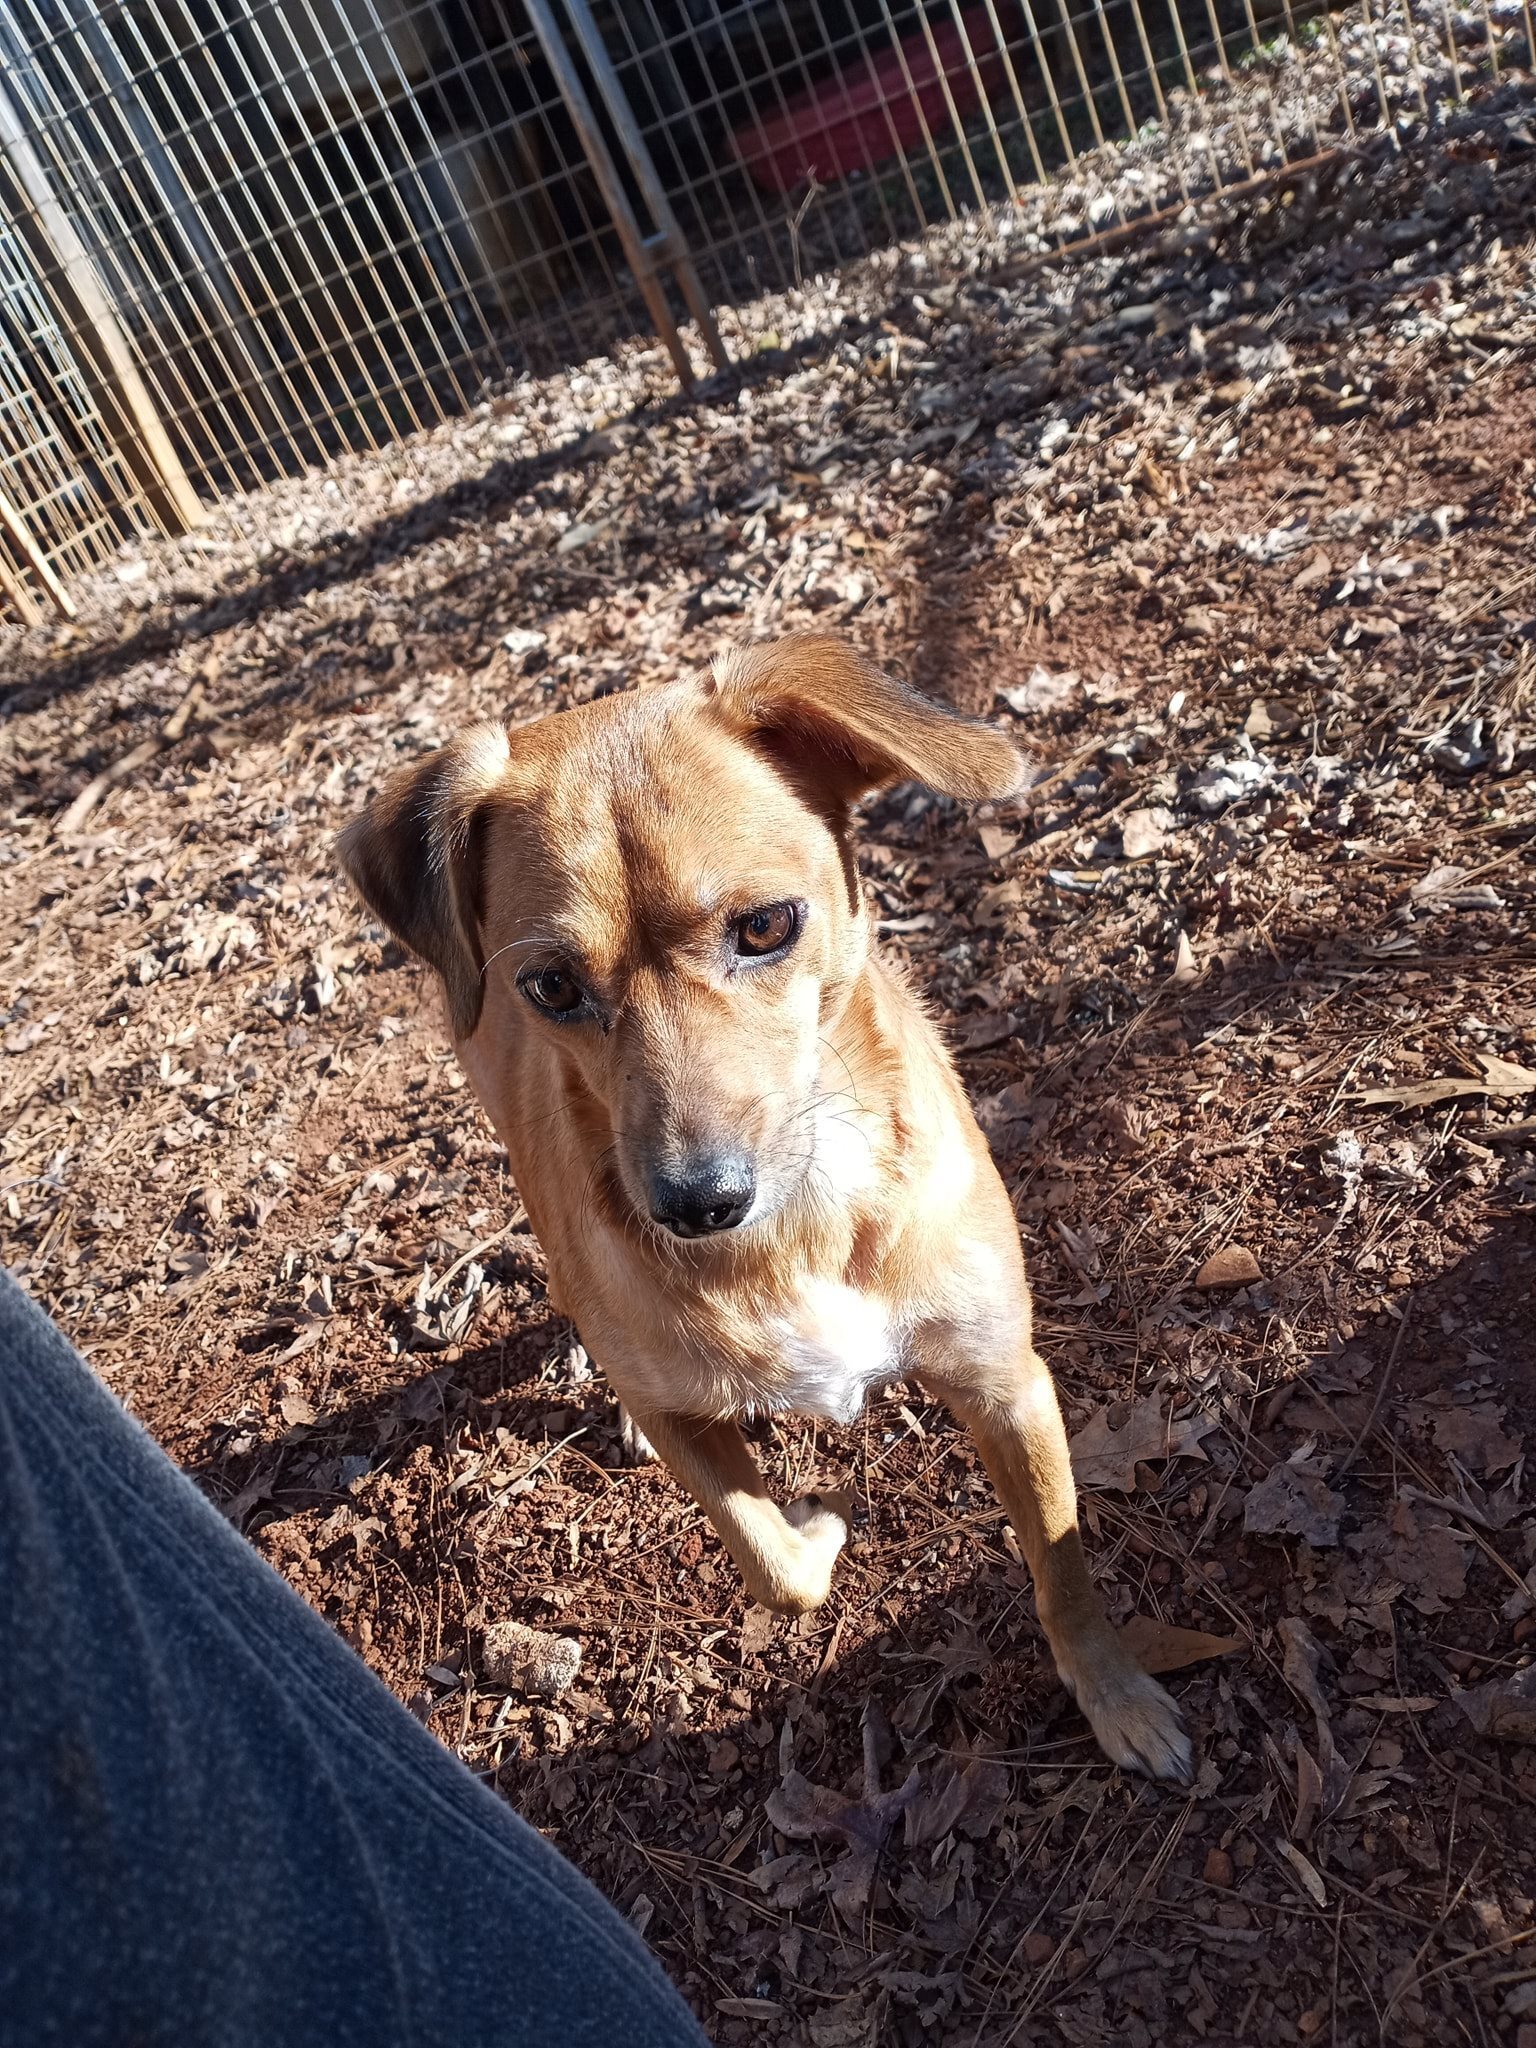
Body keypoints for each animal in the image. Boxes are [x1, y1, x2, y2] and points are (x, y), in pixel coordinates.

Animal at [342, 634, 1196, 1777]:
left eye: (764, 926)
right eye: (552, 986)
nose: (697, 1201)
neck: (803, 1225)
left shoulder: (1006, 1381)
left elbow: (1062, 1566)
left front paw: (1117, 1697)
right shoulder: (690, 1424)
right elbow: (775, 1567)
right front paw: (818, 1526)